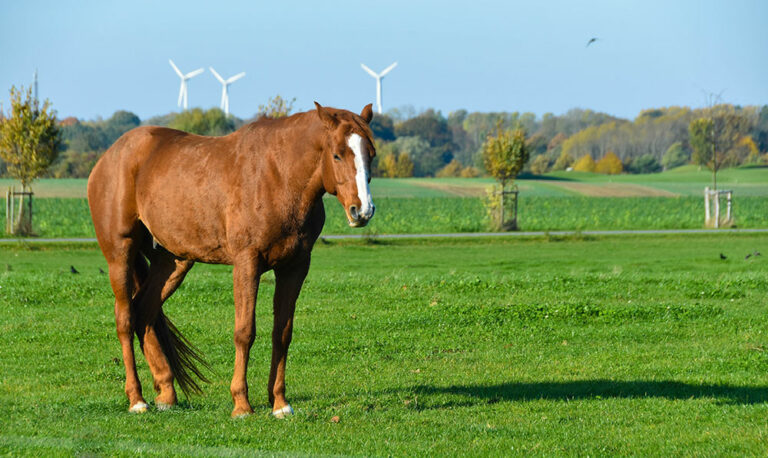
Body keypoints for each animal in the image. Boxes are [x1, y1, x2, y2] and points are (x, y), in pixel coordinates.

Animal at [87, 102, 376, 418]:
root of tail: (110, 156)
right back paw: (137, 399)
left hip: (174, 262)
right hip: (120, 254)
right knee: (125, 319)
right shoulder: (247, 263)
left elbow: (282, 333)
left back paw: (166, 394)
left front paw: (280, 403)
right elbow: (244, 331)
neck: (279, 176)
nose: (362, 210)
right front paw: (241, 404)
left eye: (370, 155)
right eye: (337, 154)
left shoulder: (294, 267)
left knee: (144, 313)